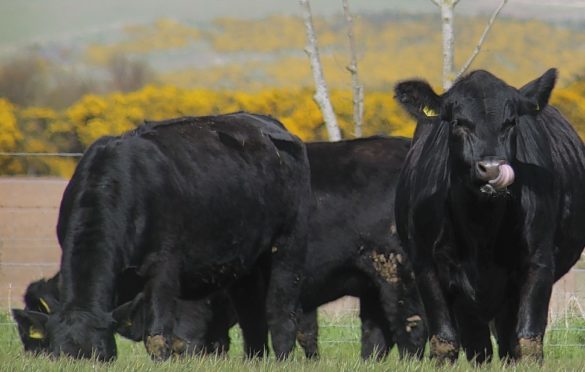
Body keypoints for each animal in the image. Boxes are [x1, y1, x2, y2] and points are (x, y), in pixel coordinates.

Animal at [12, 112, 310, 360]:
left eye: (102, 357)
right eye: (56, 355)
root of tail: (268, 124)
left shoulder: (164, 265)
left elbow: (157, 332)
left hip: (287, 247)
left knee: (281, 310)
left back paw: (282, 357)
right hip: (244, 262)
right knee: (252, 314)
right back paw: (254, 359)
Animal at [392, 67, 584, 364]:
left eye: (511, 122)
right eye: (458, 122)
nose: (492, 168)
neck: (481, 225)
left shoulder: (539, 260)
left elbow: (527, 339)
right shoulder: (426, 264)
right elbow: (445, 341)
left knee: (505, 341)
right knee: (479, 345)